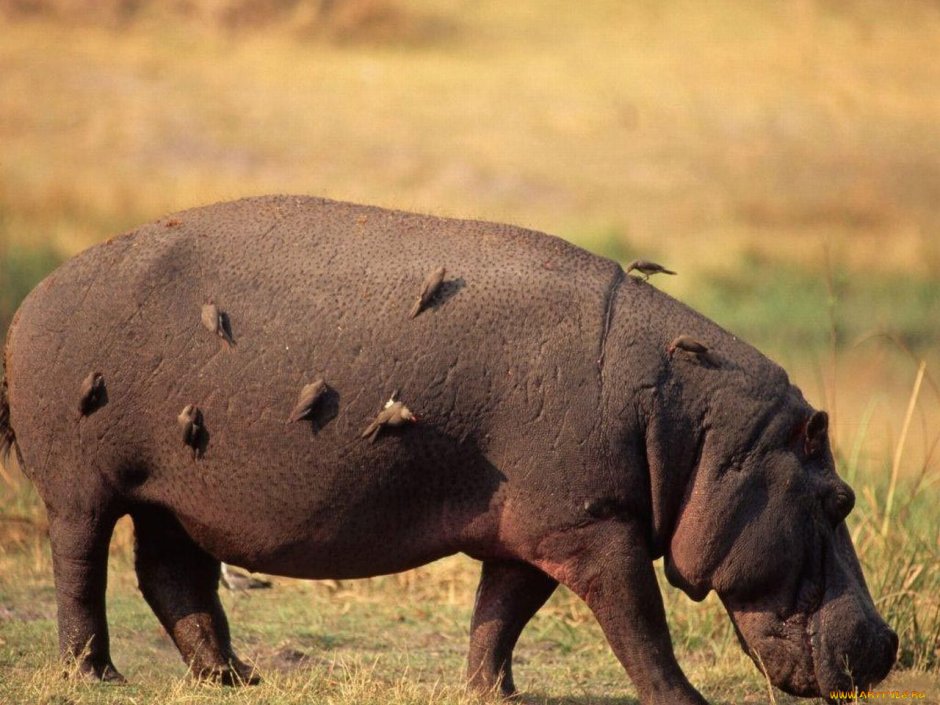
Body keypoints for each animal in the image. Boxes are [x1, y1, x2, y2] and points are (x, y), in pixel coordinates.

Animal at [0, 196, 896, 704]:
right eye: (839, 497)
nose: (888, 644)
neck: (701, 429)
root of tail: (34, 293)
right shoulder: (597, 528)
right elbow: (640, 625)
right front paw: (685, 701)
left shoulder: (535, 528)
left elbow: (499, 614)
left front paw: (494, 693)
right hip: (83, 485)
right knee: (81, 568)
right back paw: (96, 676)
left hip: (175, 492)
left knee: (171, 575)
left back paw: (235, 678)